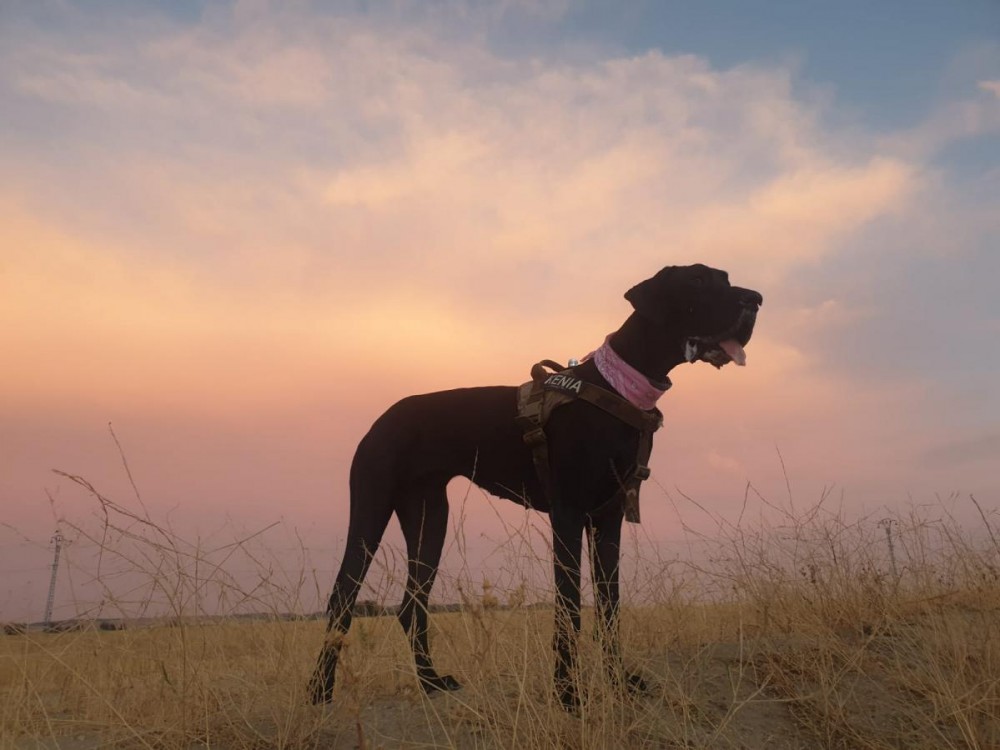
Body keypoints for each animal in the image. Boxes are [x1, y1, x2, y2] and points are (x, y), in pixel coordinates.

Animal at [309, 263, 762, 709]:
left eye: (724, 278)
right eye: (697, 280)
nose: (755, 299)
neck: (617, 388)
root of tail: (382, 418)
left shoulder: (608, 517)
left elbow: (610, 607)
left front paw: (619, 684)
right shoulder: (568, 513)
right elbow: (569, 607)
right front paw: (568, 694)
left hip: (428, 517)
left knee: (412, 606)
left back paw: (431, 683)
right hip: (371, 506)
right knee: (342, 597)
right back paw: (319, 691)